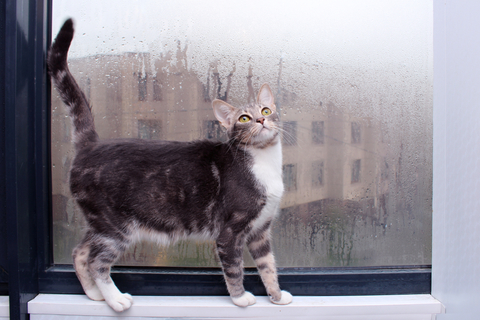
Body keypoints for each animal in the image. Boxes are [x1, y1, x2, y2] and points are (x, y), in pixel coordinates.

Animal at [47, 18, 292, 312]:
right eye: (244, 118)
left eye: (266, 111)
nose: (261, 120)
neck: (263, 161)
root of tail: (91, 144)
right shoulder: (230, 231)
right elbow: (234, 268)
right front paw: (240, 298)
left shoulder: (260, 232)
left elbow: (268, 267)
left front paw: (277, 296)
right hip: (115, 226)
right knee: (96, 261)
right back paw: (115, 299)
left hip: (99, 223)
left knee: (79, 252)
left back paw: (95, 294)